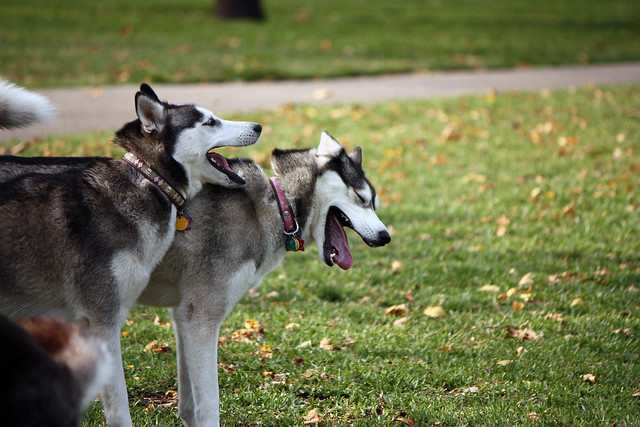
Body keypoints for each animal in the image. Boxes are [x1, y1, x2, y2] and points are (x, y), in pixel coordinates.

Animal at [138, 131, 390, 427]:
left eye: (374, 203)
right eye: (361, 198)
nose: (386, 237)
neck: (281, 206)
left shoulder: (183, 317)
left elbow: (189, 406)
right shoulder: (200, 317)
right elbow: (208, 404)